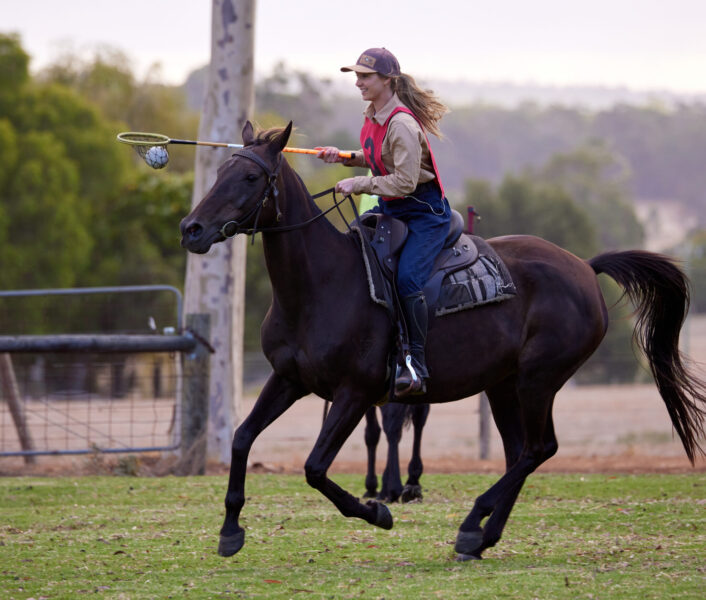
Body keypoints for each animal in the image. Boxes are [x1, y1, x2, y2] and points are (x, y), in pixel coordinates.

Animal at [180, 122, 706, 561]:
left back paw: (474, 522)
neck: (322, 284)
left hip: (539, 380)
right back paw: (482, 536)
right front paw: (230, 529)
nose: (192, 229)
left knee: (539, 449)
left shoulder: (354, 393)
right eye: (220, 171)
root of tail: (585, 267)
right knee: (521, 453)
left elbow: (314, 467)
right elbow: (243, 437)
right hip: (503, 385)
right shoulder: (288, 380)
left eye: (251, 177)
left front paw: (379, 510)